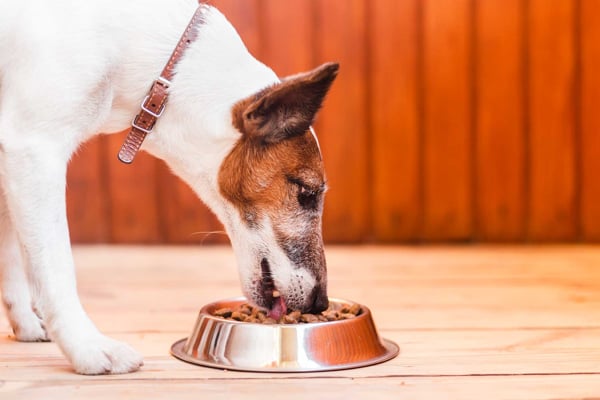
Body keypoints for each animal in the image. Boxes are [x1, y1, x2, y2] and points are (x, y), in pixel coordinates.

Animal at [0, 0, 338, 376]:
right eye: (307, 193)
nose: (320, 303)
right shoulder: (35, 149)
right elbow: (55, 269)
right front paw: (87, 347)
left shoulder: (13, 162)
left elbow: (13, 254)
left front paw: (26, 323)